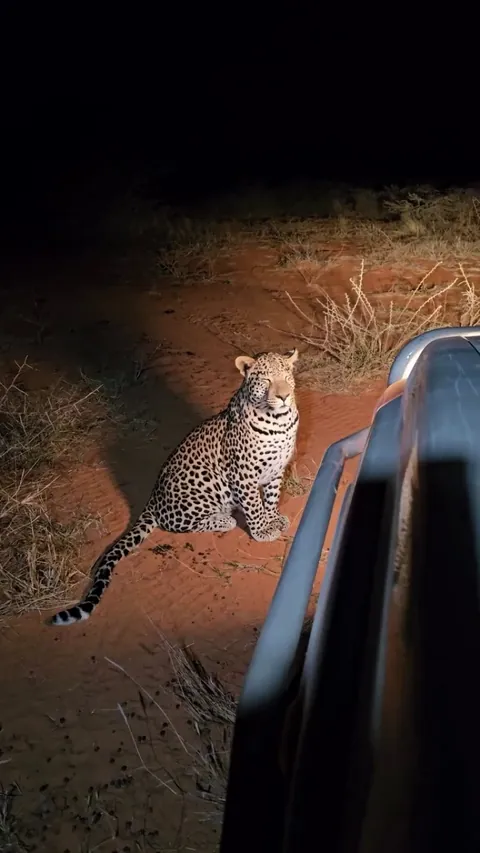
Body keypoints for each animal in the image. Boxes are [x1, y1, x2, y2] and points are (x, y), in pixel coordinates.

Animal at [51, 348, 300, 626]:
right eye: (266, 380)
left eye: (286, 377)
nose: (283, 396)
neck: (280, 422)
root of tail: (152, 499)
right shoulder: (243, 472)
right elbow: (254, 505)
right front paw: (262, 531)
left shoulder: (276, 469)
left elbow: (272, 496)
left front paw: (274, 518)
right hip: (207, 481)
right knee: (177, 523)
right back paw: (224, 519)